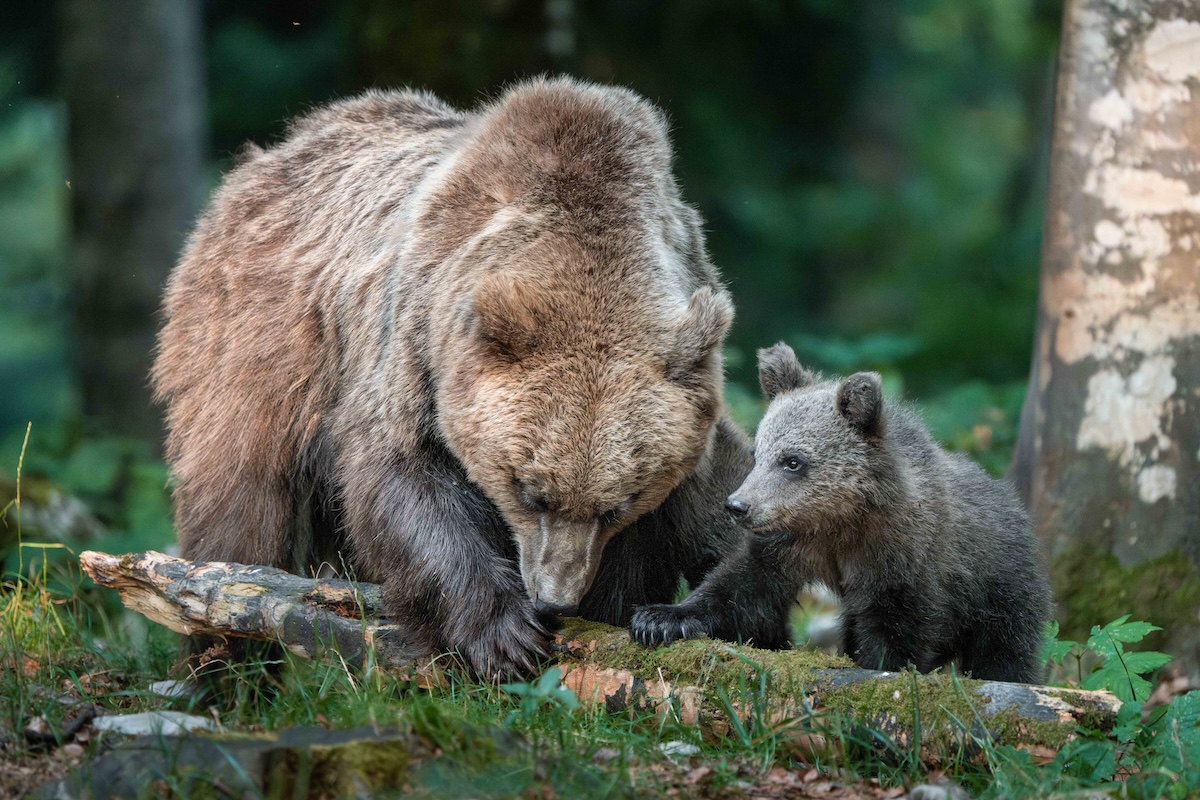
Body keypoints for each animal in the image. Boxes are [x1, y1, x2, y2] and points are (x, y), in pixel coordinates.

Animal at [151, 77, 754, 679]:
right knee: (239, 510)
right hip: (257, 343)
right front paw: (506, 636)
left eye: (619, 504)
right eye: (530, 491)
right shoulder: (416, 338)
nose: (554, 598)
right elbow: (405, 480)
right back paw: (222, 665)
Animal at [630, 343, 1052, 684]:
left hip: (1000, 592)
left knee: (1006, 653)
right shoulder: (788, 543)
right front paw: (658, 619)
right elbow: (740, 588)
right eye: (757, 453)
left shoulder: (904, 561)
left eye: (793, 461)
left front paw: (879, 666)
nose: (737, 506)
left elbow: (897, 630)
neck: (840, 520)